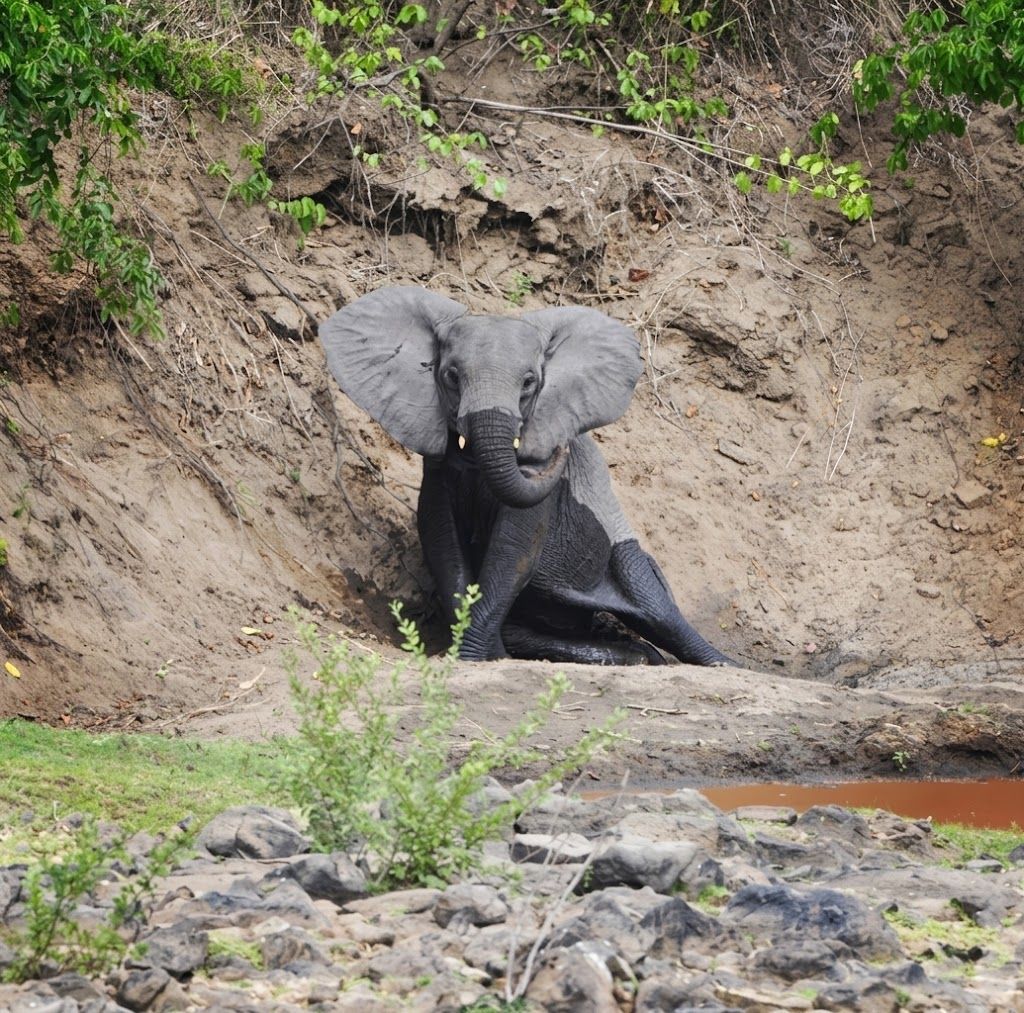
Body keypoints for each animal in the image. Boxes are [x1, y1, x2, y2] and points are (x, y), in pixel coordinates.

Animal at [320, 285, 733, 667]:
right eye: (451, 376)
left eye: (530, 382)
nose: (563, 448)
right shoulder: (436, 468)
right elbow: (443, 543)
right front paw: (479, 657)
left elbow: (513, 551)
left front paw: (475, 659)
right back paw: (636, 657)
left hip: (626, 558)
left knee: (657, 610)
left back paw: (721, 664)